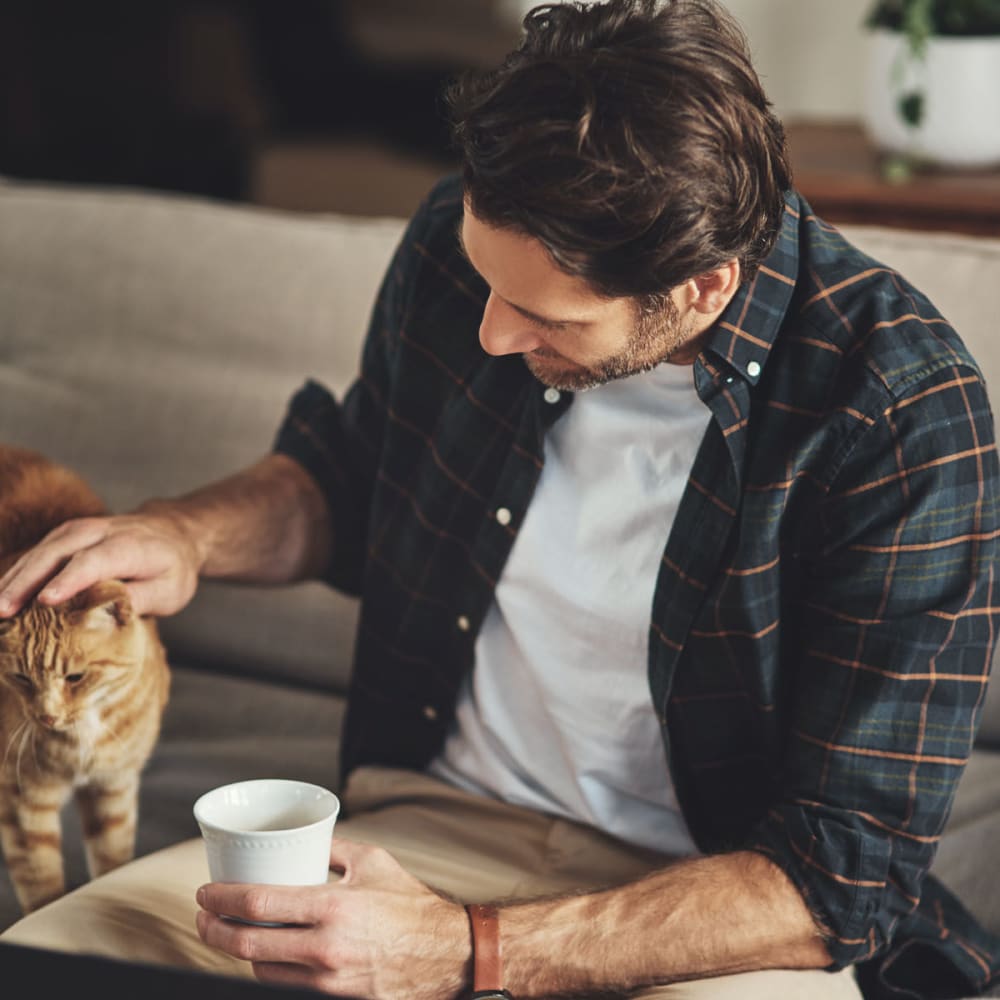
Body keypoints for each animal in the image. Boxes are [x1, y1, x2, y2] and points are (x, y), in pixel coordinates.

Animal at [0, 448, 169, 916]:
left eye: (75, 677)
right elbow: (42, 885)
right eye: (20, 678)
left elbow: (112, 863)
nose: (46, 717)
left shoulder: (113, 788)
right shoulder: (21, 801)